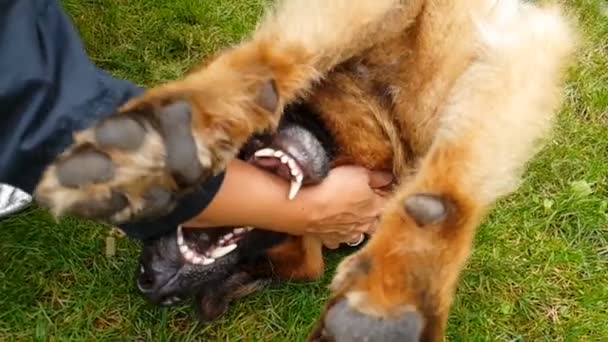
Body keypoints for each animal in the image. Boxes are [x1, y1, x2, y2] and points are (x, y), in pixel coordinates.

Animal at [34, 0, 580, 340]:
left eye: (259, 269)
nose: (147, 283)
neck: (379, 112)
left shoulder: (505, 54)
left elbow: (452, 182)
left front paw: (396, 288)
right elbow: (283, 55)